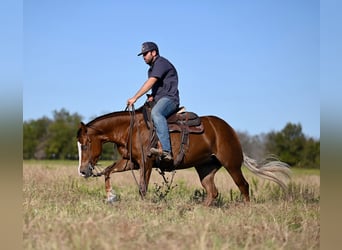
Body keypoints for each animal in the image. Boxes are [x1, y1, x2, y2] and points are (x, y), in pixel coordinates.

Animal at [76, 106, 290, 206]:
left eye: (85, 145)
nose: (83, 171)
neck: (131, 129)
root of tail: (229, 130)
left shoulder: (146, 162)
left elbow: (142, 188)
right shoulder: (132, 163)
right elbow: (107, 171)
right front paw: (110, 196)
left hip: (232, 164)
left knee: (243, 186)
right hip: (206, 168)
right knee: (212, 192)